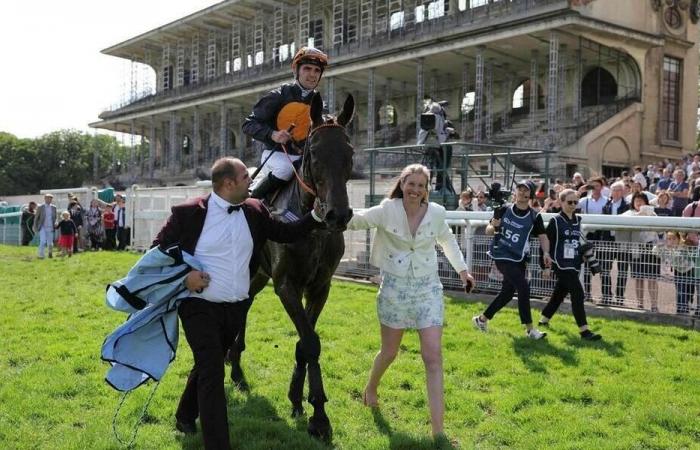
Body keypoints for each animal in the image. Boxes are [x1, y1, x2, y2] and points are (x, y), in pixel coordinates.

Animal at [227, 93, 352, 442]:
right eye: (315, 151)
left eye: (349, 152)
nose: (338, 215)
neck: (312, 227)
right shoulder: (286, 285)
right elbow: (310, 342)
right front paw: (319, 417)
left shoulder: (320, 287)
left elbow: (304, 342)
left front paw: (298, 401)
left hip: (256, 276)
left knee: (243, 305)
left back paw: (236, 367)